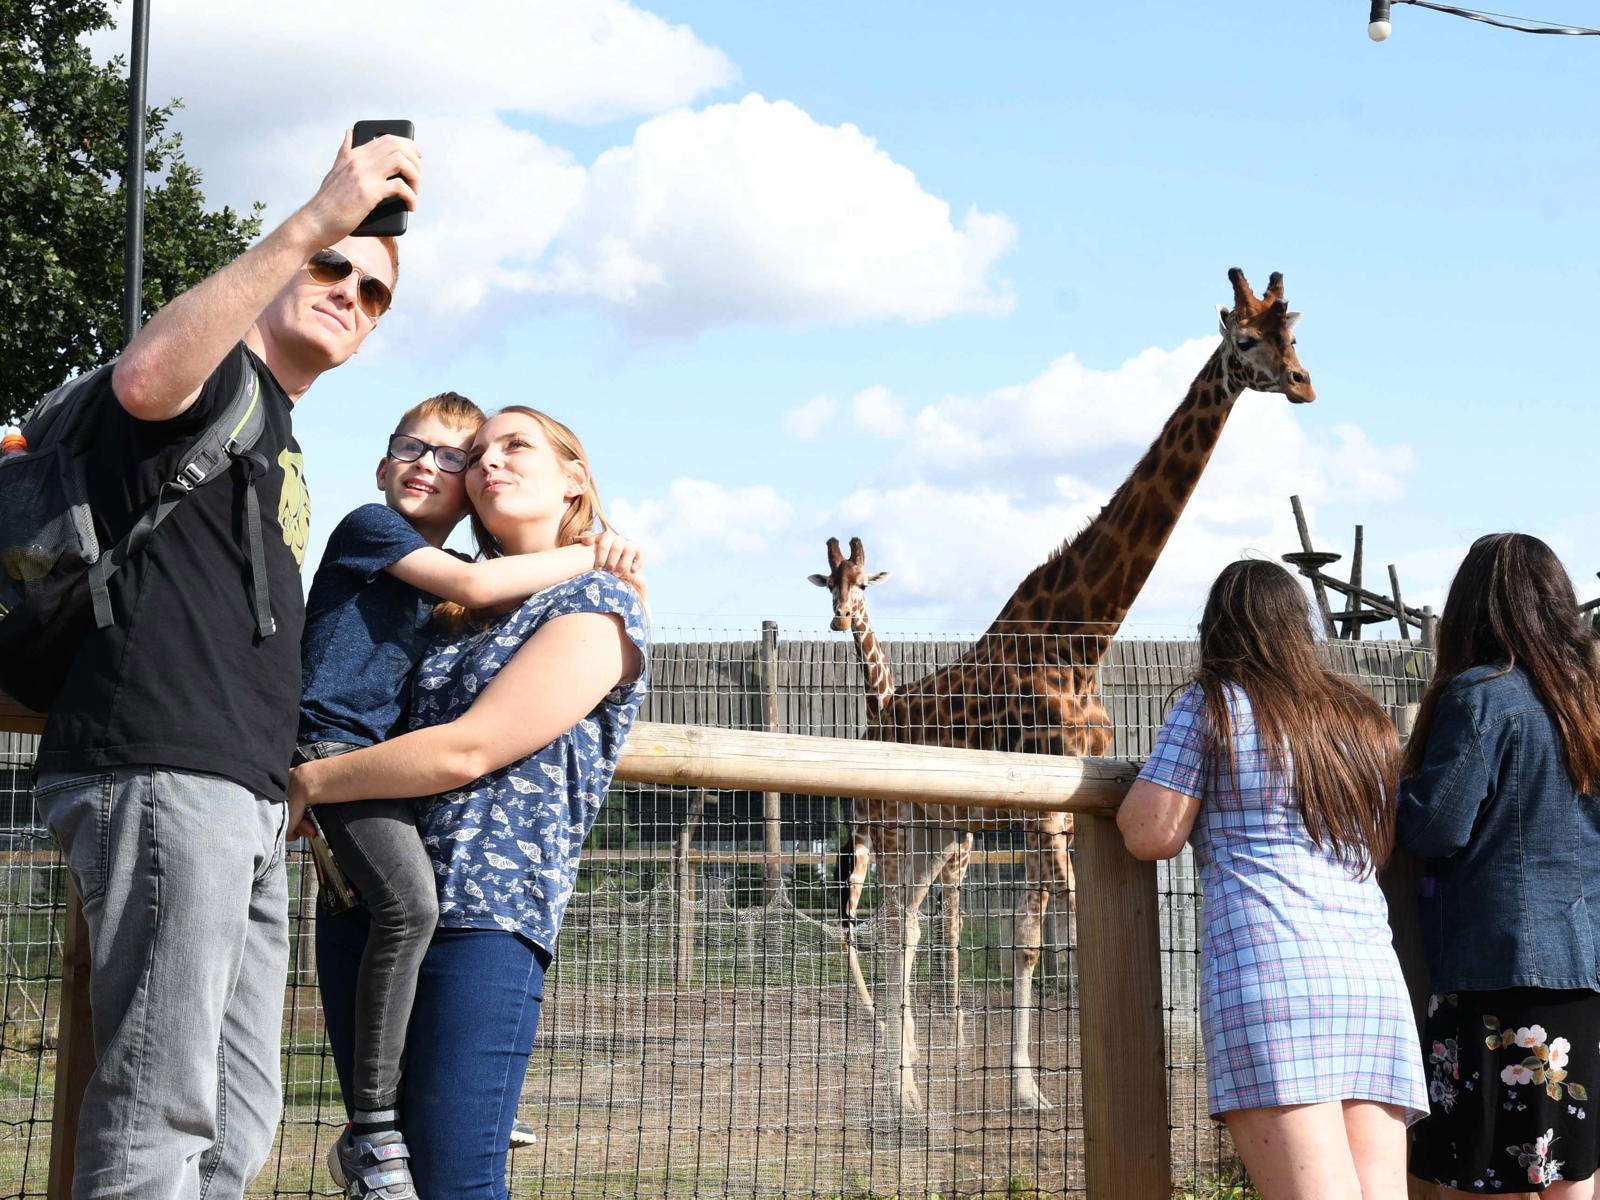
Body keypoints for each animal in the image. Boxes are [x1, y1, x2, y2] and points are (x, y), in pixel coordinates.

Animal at [800, 544, 972, 1024]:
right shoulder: (870, 836)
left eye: (863, 584)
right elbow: (875, 920)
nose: (841, 617)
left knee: (945, 922)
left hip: (950, 856)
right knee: (866, 916)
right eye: (830, 583)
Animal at [876, 267, 1312, 1113]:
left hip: (943, 829)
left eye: (1296, 335)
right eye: (1246, 339)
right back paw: (895, 1093)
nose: (1305, 384)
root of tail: (881, 712)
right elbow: (1069, 924)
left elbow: (1034, 936)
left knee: (908, 924)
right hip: (895, 821)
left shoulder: (1072, 798)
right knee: (888, 923)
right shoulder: (1047, 800)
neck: (1081, 636)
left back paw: (908, 1085)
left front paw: (1029, 1089)